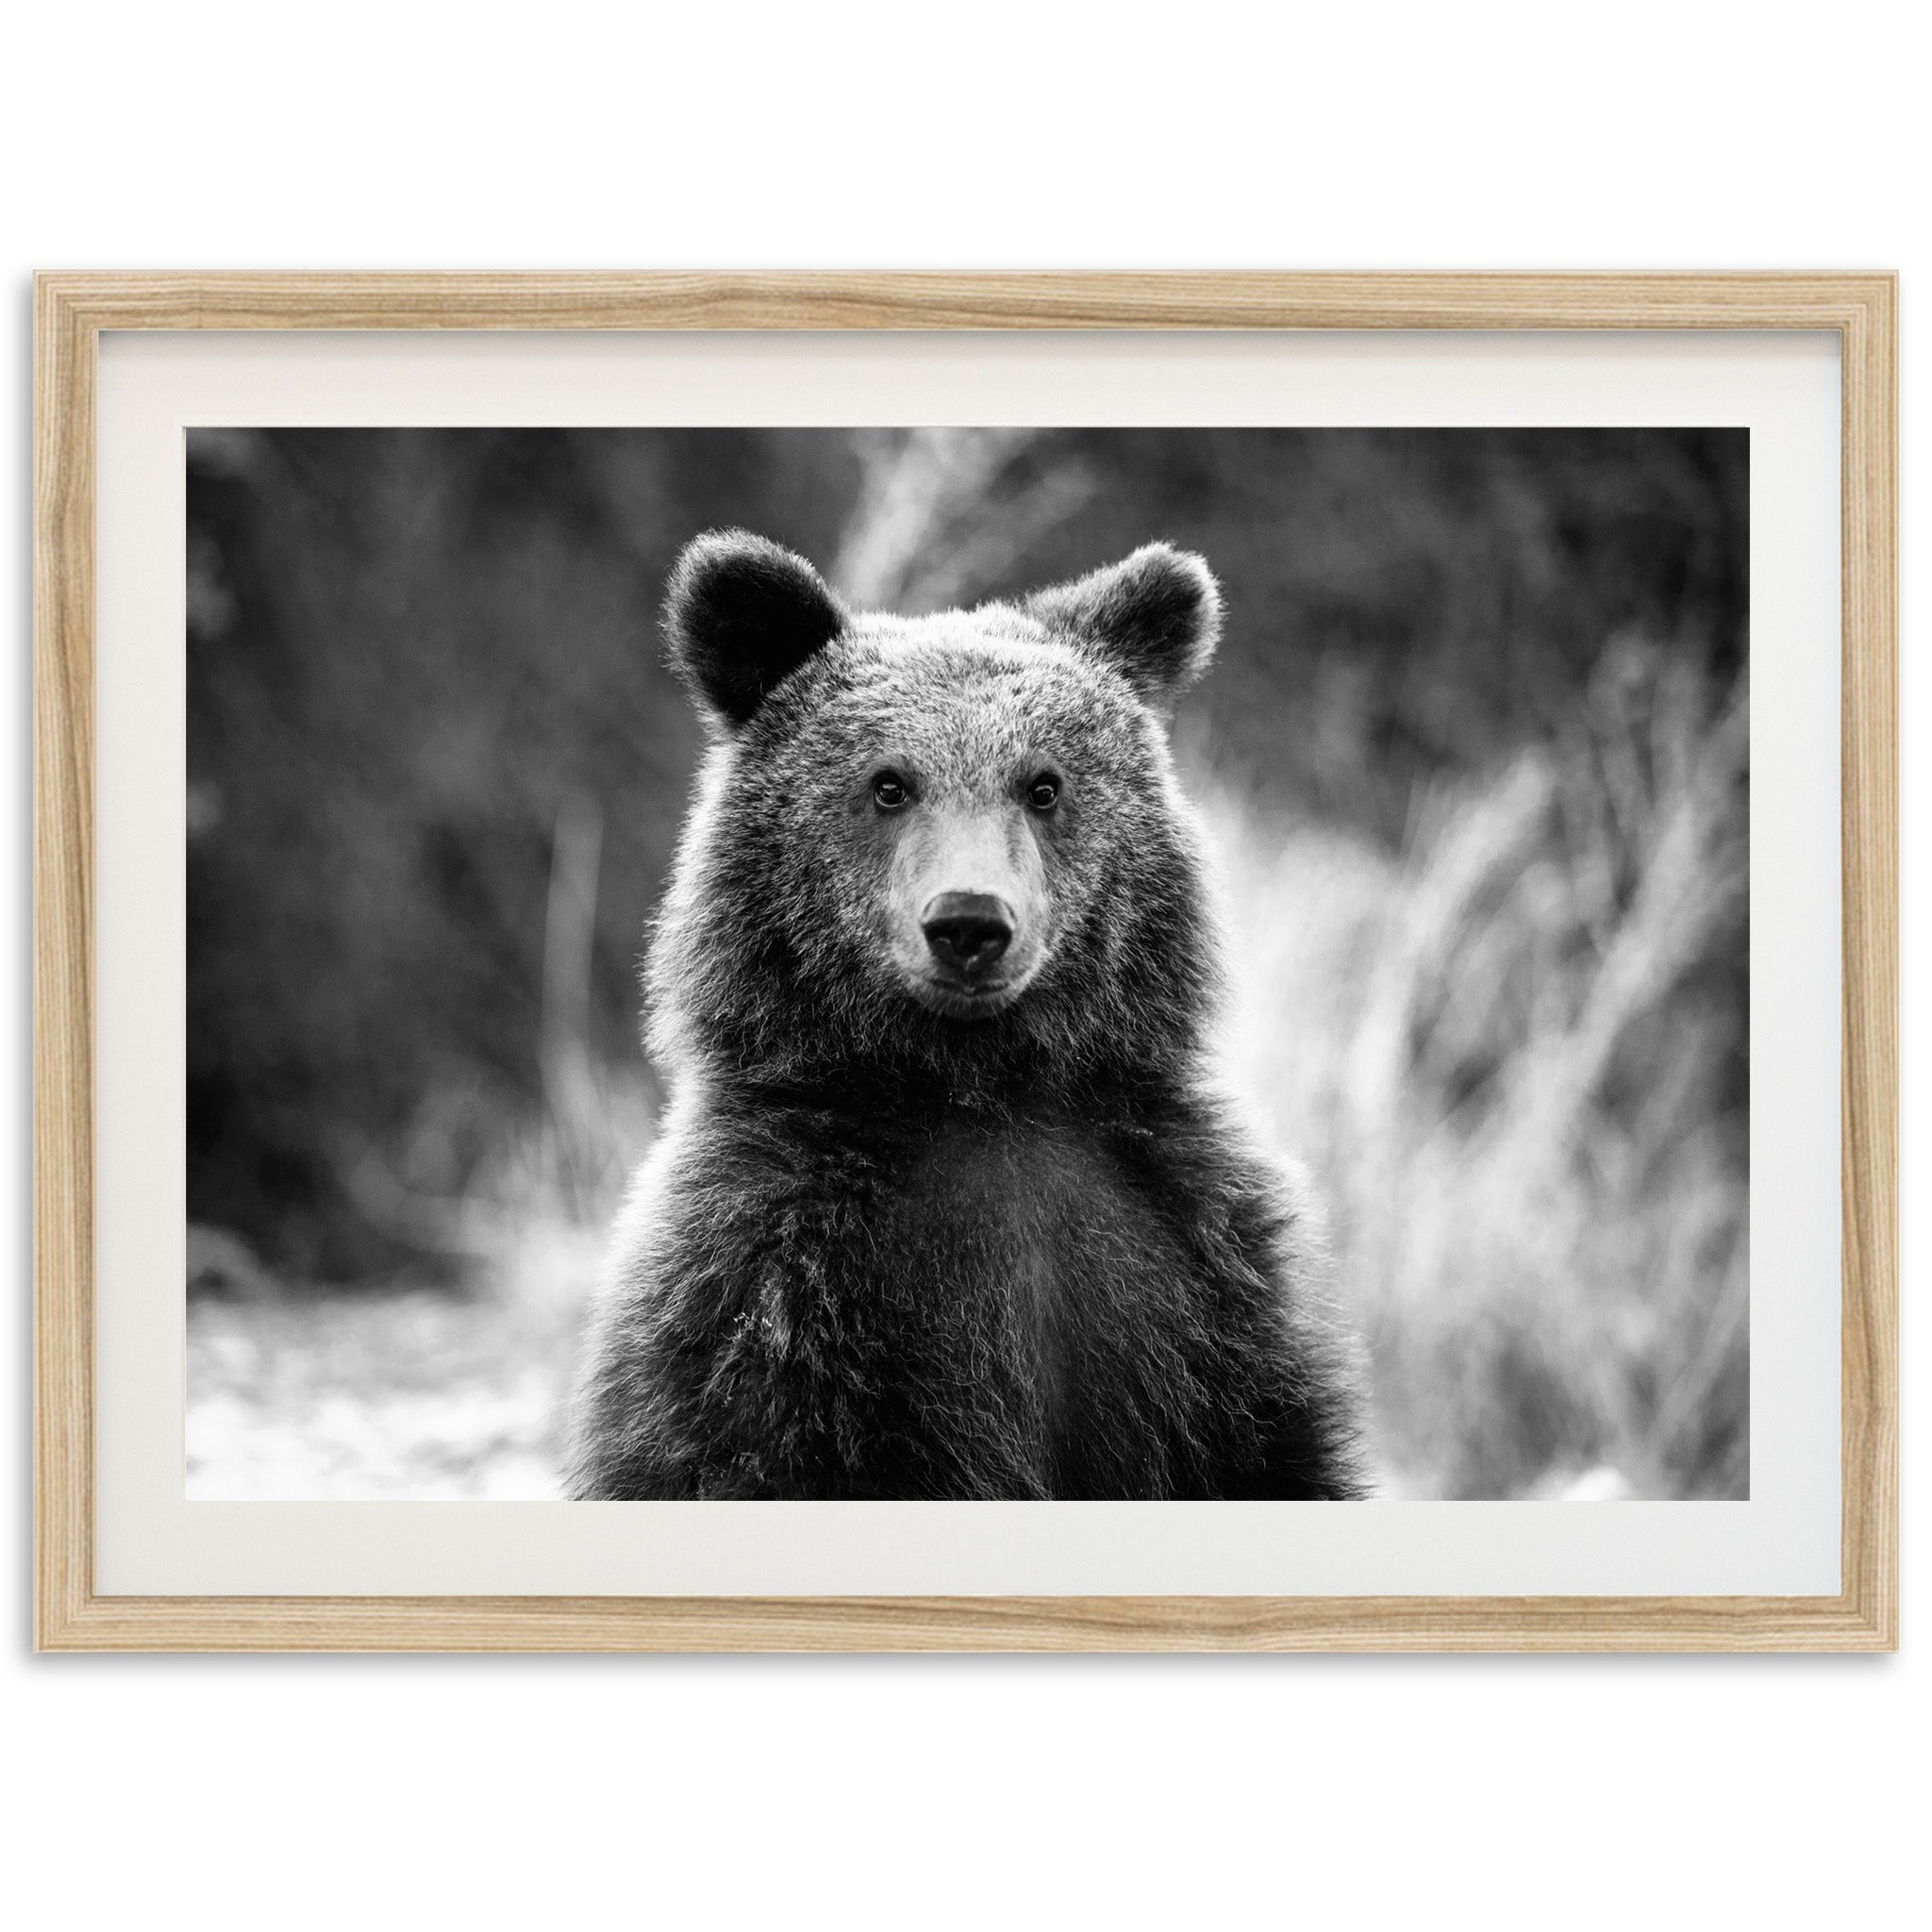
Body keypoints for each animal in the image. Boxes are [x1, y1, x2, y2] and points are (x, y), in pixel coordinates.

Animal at [564, 533, 1367, 1507]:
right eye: (888, 785)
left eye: (1044, 785)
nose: (970, 923)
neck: (980, 1091)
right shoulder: (770, 1290)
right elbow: (736, 1449)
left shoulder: (1194, 1275)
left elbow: (1268, 1450)